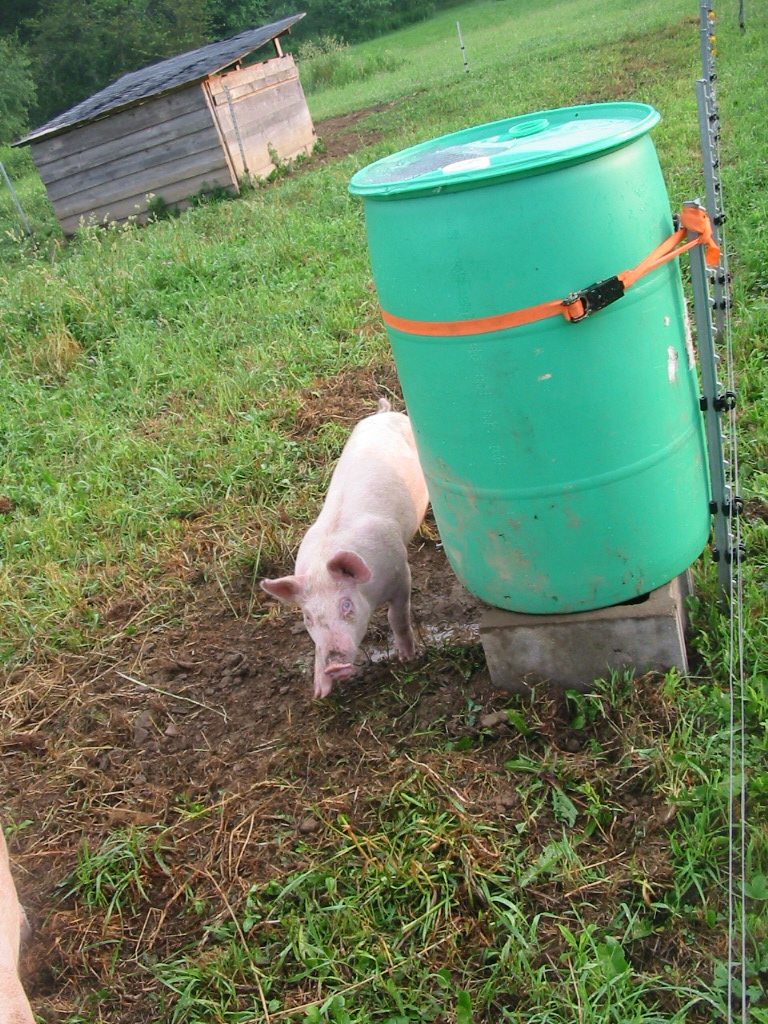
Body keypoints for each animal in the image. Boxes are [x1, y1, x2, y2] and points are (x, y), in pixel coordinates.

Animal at [261, 398, 429, 698]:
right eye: (307, 617)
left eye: (346, 605)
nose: (334, 667)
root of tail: (385, 413)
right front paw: (319, 693)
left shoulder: (401, 573)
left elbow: (397, 617)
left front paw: (408, 658)